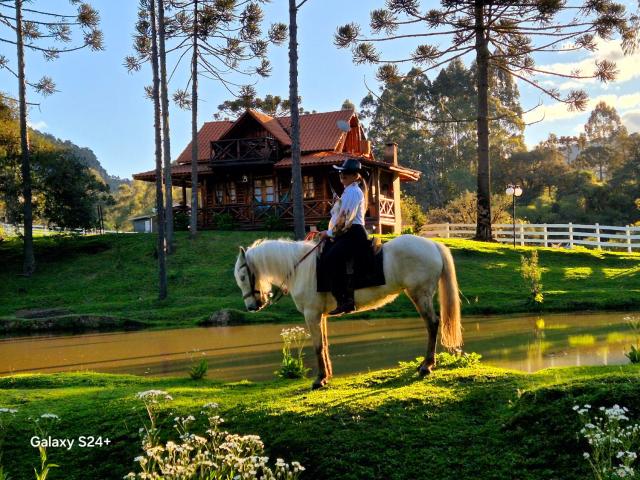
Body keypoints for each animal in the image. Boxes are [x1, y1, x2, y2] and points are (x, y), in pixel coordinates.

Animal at [234, 236, 460, 390]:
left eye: (243, 276)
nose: (251, 307)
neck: (300, 269)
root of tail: (432, 245)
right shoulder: (321, 316)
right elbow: (324, 344)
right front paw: (327, 376)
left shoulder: (311, 314)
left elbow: (317, 346)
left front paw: (319, 380)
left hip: (420, 294)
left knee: (432, 324)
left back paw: (426, 366)